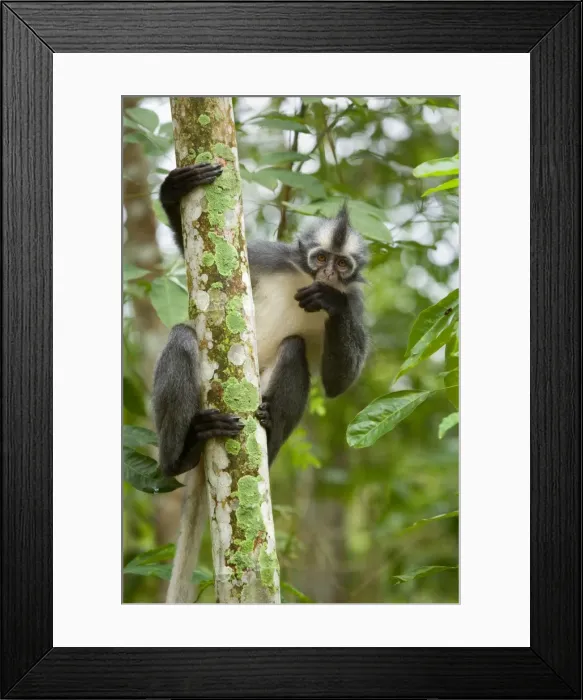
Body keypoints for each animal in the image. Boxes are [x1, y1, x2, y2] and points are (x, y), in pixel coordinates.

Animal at [152, 162, 369, 477]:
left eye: (341, 264)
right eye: (320, 258)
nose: (328, 274)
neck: (306, 279)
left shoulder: (355, 301)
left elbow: (338, 382)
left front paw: (329, 301)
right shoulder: (267, 257)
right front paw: (174, 189)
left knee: (294, 346)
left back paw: (268, 432)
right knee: (182, 336)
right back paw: (182, 455)